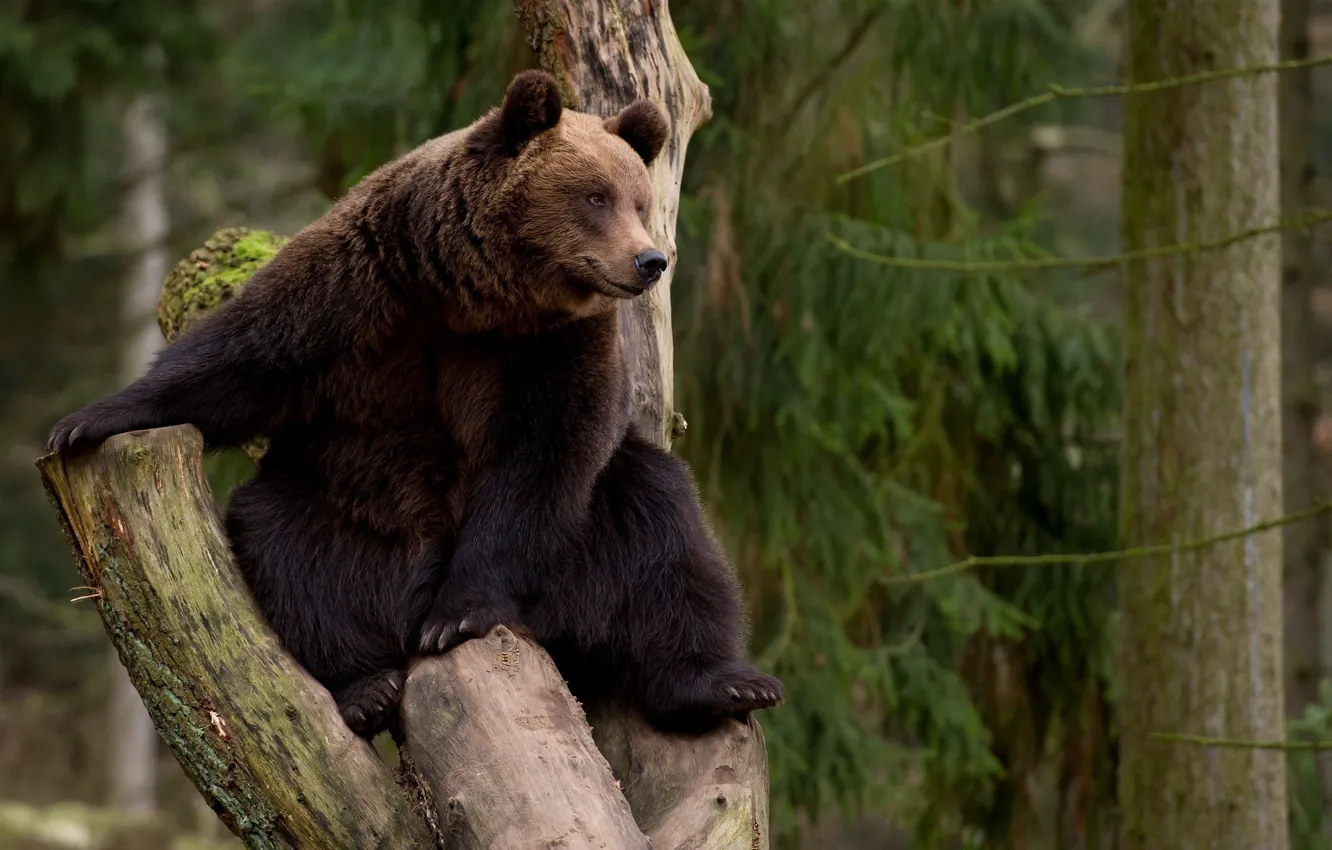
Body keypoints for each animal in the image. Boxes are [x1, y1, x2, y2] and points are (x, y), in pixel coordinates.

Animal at [46, 69, 783, 738]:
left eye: (639, 202)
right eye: (596, 197)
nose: (649, 261)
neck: (475, 295)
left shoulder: (556, 346)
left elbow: (544, 455)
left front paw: (460, 610)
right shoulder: (363, 283)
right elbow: (243, 360)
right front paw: (85, 421)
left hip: (583, 547)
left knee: (666, 536)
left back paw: (722, 683)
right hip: (349, 510)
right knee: (285, 545)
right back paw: (365, 685)